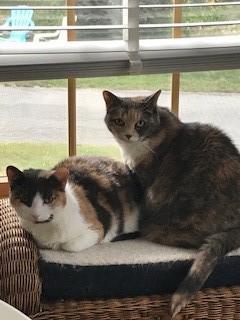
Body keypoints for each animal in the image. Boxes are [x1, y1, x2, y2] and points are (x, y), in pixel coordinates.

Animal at [7, 156, 141, 252]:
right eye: (24, 198)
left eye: (49, 199)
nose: (35, 215)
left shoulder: (96, 230)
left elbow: (69, 246)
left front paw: (58, 245)